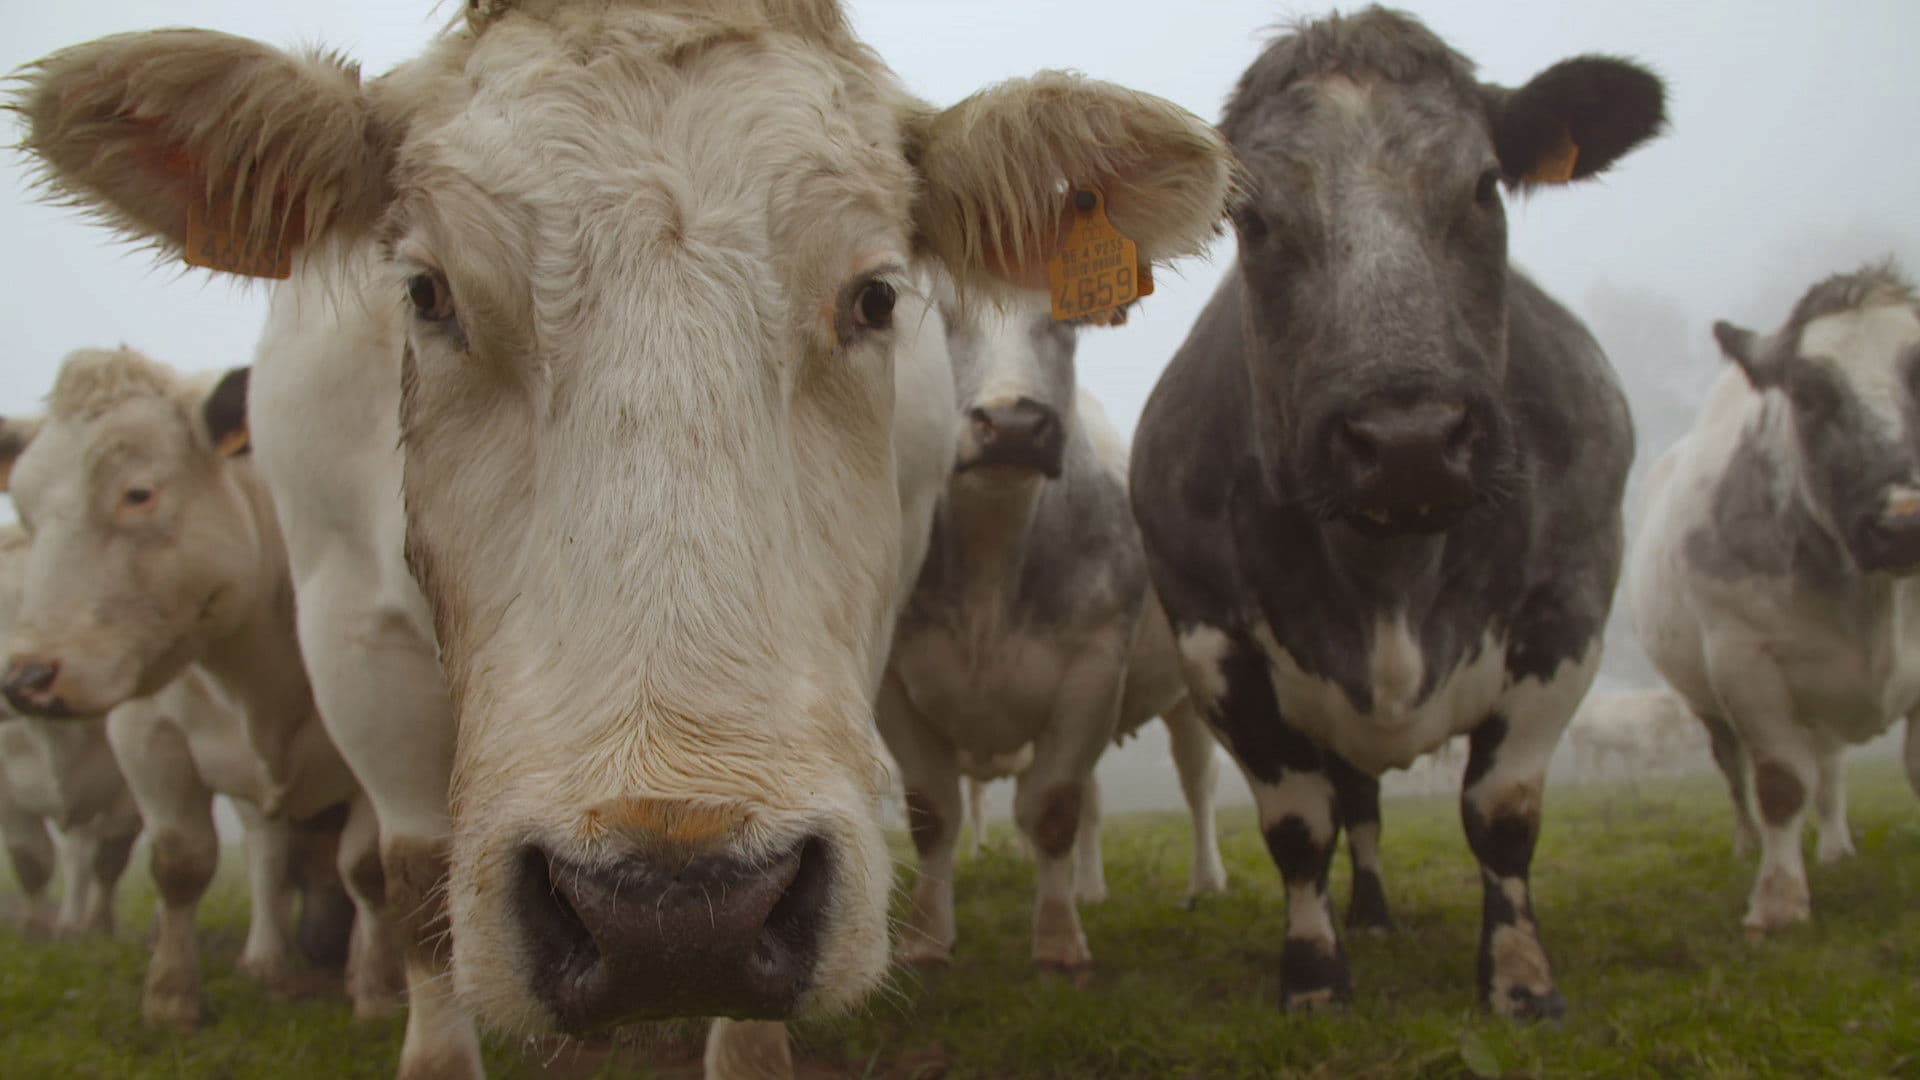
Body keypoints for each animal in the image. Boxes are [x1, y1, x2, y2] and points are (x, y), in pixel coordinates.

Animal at [0, 348, 398, 1029]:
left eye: (137, 493)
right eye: (24, 510)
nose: (26, 678)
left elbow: (365, 870)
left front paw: (377, 992)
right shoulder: (146, 736)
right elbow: (180, 863)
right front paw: (170, 996)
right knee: (265, 852)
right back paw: (265, 957)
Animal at [883, 298, 1228, 971]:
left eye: (1065, 321)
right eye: (939, 313)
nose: (1013, 423)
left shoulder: (1091, 672)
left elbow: (1051, 810)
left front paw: (1059, 943)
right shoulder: (892, 686)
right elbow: (933, 813)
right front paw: (925, 940)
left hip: (1187, 695)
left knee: (1197, 783)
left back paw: (1205, 883)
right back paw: (1089, 887)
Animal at [1129, 8, 1665, 1017]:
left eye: (1487, 185)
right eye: (1252, 218)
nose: (1408, 439)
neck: (1391, 576)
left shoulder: (1568, 609)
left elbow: (1502, 815)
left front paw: (1521, 979)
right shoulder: (1213, 640)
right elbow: (1301, 825)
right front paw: (1313, 975)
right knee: (1357, 804)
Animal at [1628, 263, 1920, 934]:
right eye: (1808, 394)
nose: (1904, 522)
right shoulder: (1745, 662)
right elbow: (1781, 783)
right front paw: (1779, 897)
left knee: (1831, 768)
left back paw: (1836, 845)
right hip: (1708, 701)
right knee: (1739, 774)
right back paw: (1750, 843)